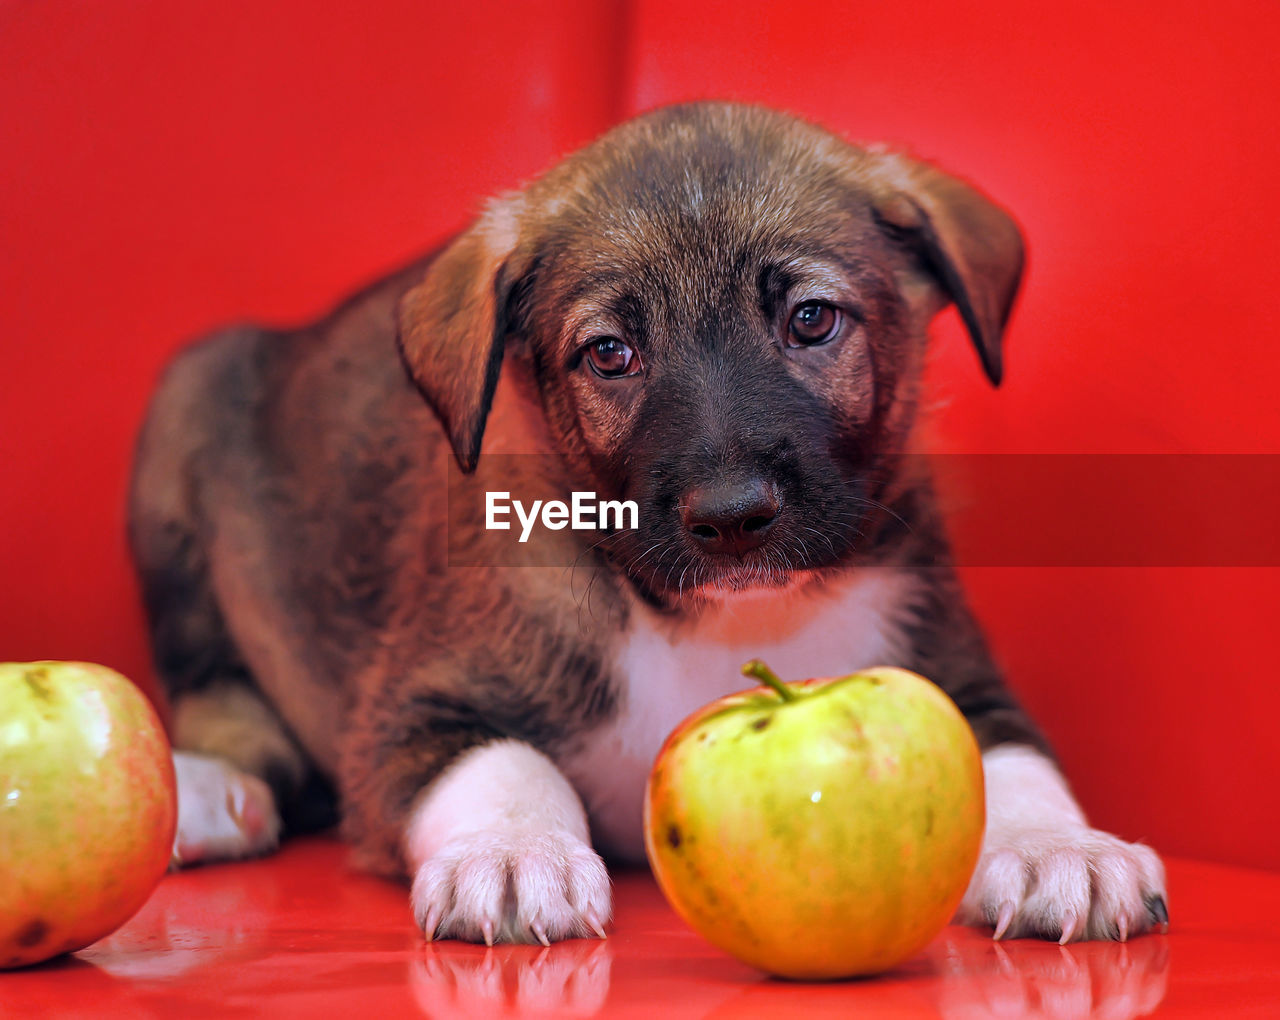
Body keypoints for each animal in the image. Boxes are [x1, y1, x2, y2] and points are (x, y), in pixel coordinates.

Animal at [132, 99, 1172, 941]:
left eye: (811, 319)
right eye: (610, 353)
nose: (733, 517)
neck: (721, 620)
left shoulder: (958, 669)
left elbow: (1012, 765)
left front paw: (1062, 848)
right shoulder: (410, 713)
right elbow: (505, 762)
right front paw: (515, 854)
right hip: (181, 424)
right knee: (217, 691)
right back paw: (211, 789)